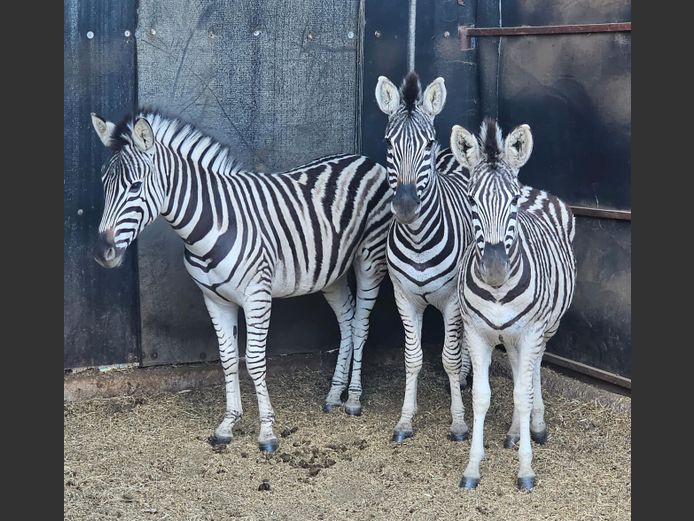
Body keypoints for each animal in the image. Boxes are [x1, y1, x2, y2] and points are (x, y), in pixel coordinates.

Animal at [90, 109, 392, 453]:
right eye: (104, 184)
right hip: (332, 272)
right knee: (347, 321)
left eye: (135, 186)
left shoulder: (256, 296)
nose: (102, 252)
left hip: (370, 259)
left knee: (361, 324)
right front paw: (227, 424)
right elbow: (228, 359)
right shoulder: (215, 299)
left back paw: (353, 398)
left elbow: (255, 361)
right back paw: (334, 394)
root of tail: (364, 159)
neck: (211, 224)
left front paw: (267, 433)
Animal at [374, 71, 473, 444]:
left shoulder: (453, 302)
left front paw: (459, 422)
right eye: (388, 144)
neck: (418, 240)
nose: (405, 207)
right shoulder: (404, 298)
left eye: (427, 144)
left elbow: (450, 358)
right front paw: (406, 418)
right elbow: (412, 358)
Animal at [450, 118, 576, 490]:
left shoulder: (532, 330)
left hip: (545, 328)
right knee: (522, 369)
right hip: (512, 335)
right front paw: (473, 468)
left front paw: (525, 470)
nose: (495, 270)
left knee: (532, 373)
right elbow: (481, 396)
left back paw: (536, 426)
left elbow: (522, 393)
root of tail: (538, 189)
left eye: (514, 200)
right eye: (471, 199)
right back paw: (514, 432)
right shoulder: (476, 333)